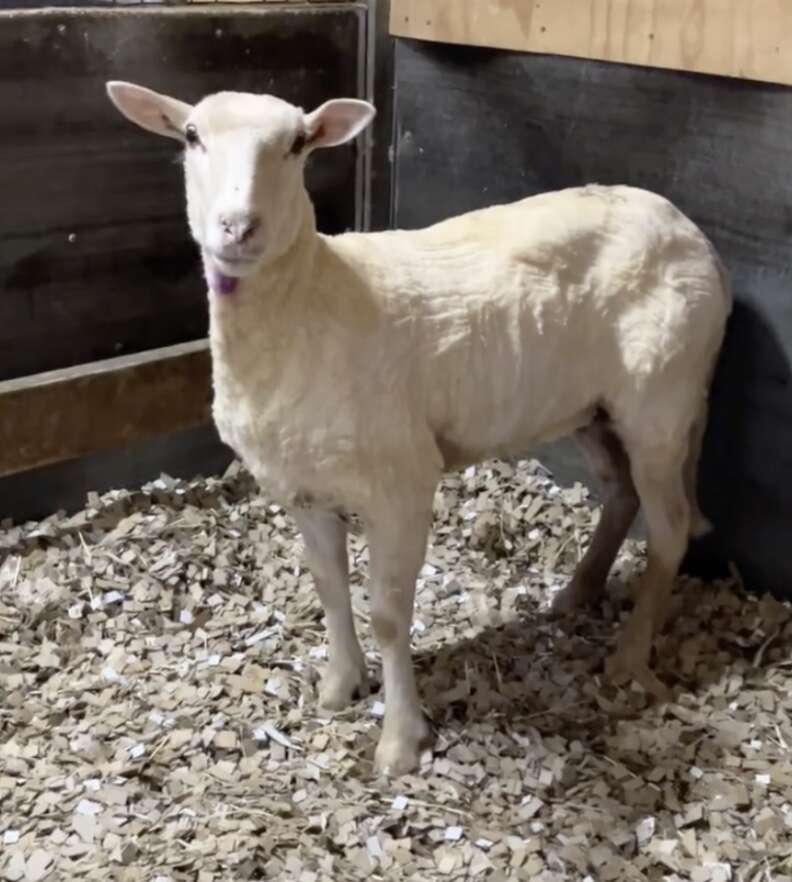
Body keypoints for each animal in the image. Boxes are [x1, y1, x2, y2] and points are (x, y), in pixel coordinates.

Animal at [106, 81, 732, 776]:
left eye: (298, 144)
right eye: (191, 136)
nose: (238, 228)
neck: (307, 305)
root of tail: (691, 232)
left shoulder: (402, 481)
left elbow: (386, 614)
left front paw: (401, 741)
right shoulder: (301, 487)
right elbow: (329, 589)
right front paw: (340, 687)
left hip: (662, 396)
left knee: (670, 525)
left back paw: (629, 656)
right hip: (593, 406)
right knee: (621, 494)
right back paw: (579, 590)